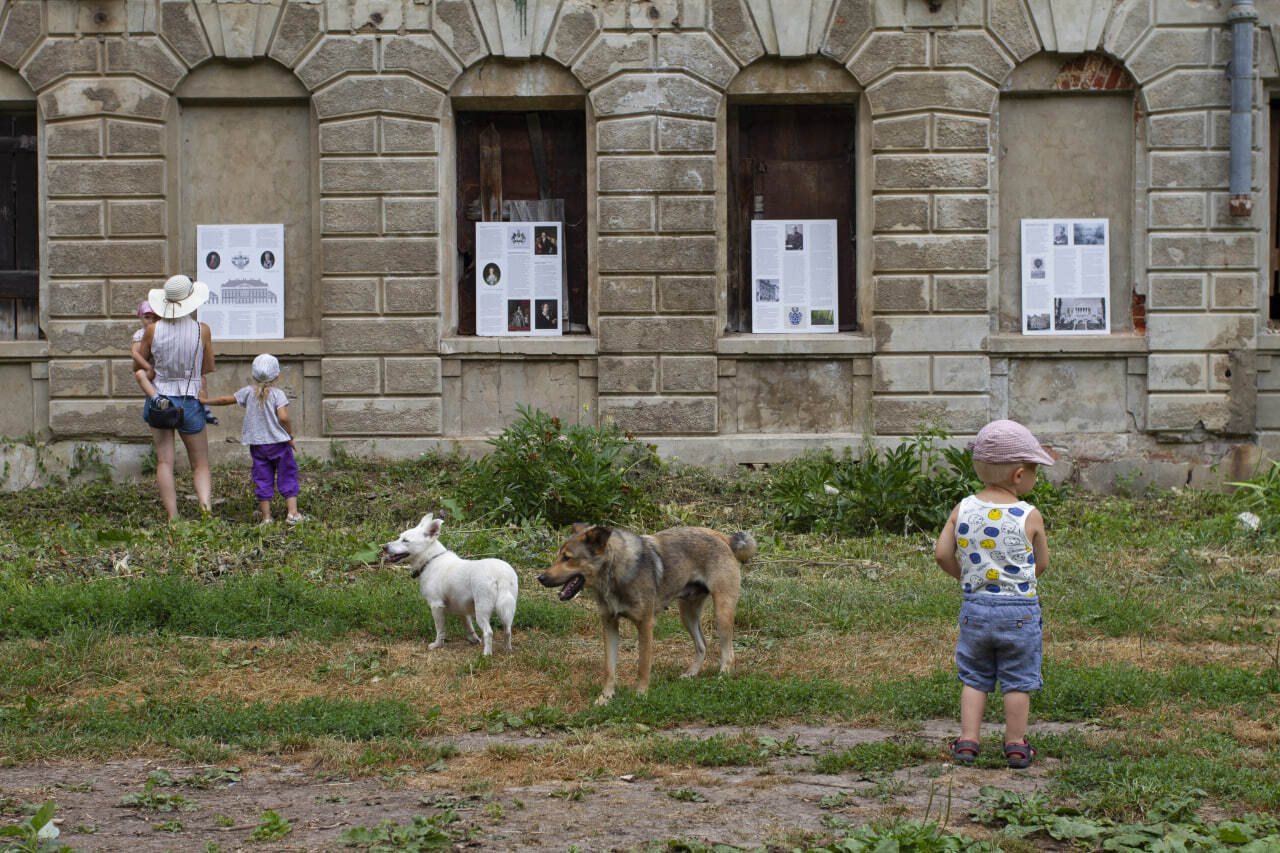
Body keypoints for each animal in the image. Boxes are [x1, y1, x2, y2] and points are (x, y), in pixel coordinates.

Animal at [381, 512, 517, 650]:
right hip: (507, 608)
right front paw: (473, 639)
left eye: (405, 540)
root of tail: (500, 574)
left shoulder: (436, 605)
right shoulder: (462, 607)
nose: (383, 547)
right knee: (508, 631)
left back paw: (487, 653)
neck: (430, 559)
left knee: (489, 632)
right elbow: (468, 627)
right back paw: (507, 649)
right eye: (399, 537)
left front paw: (437, 645)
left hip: (482, 609)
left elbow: (440, 630)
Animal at [535, 522, 752, 701]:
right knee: (702, 645)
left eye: (567, 558)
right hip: (687, 614)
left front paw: (640, 695)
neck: (615, 571)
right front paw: (605, 698)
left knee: (728, 653)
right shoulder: (609, 625)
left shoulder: (645, 624)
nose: (541, 578)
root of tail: (723, 537)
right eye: (558, 556)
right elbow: (609, 668)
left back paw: (722, 678)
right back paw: (691, 675)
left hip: (722, 612)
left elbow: (643, 665)